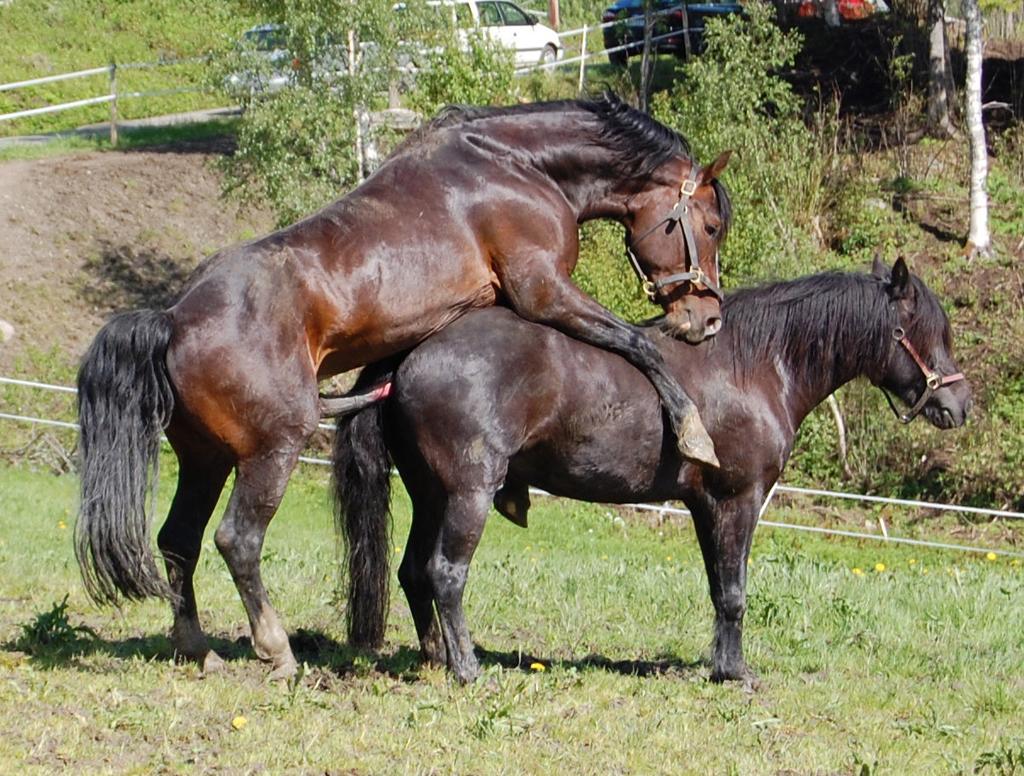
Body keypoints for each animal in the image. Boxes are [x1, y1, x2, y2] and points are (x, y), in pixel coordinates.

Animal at [79, 94, 733, 679]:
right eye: (710, 225)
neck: (516, 165)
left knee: (178, 539)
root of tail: (174, 318)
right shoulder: (543, 291)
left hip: (205, 460)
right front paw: (694, 432)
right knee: (237, 540)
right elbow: (637, 344)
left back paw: (199, 649)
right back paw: (277, 651)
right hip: (271, 452)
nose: (707, 319)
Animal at [333, 257, 966, 683]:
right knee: (445, 573)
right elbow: (735, 592)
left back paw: (435, 658)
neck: (753, 364)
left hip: (429, 495)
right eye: (926, 332)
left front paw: (722, 665)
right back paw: (466, 668)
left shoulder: (706, 505)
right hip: (468, 493)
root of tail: (411, 353)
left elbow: (719, 589)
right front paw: (736, 674)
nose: (959, 406)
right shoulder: (738, 499)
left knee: (413, 572)